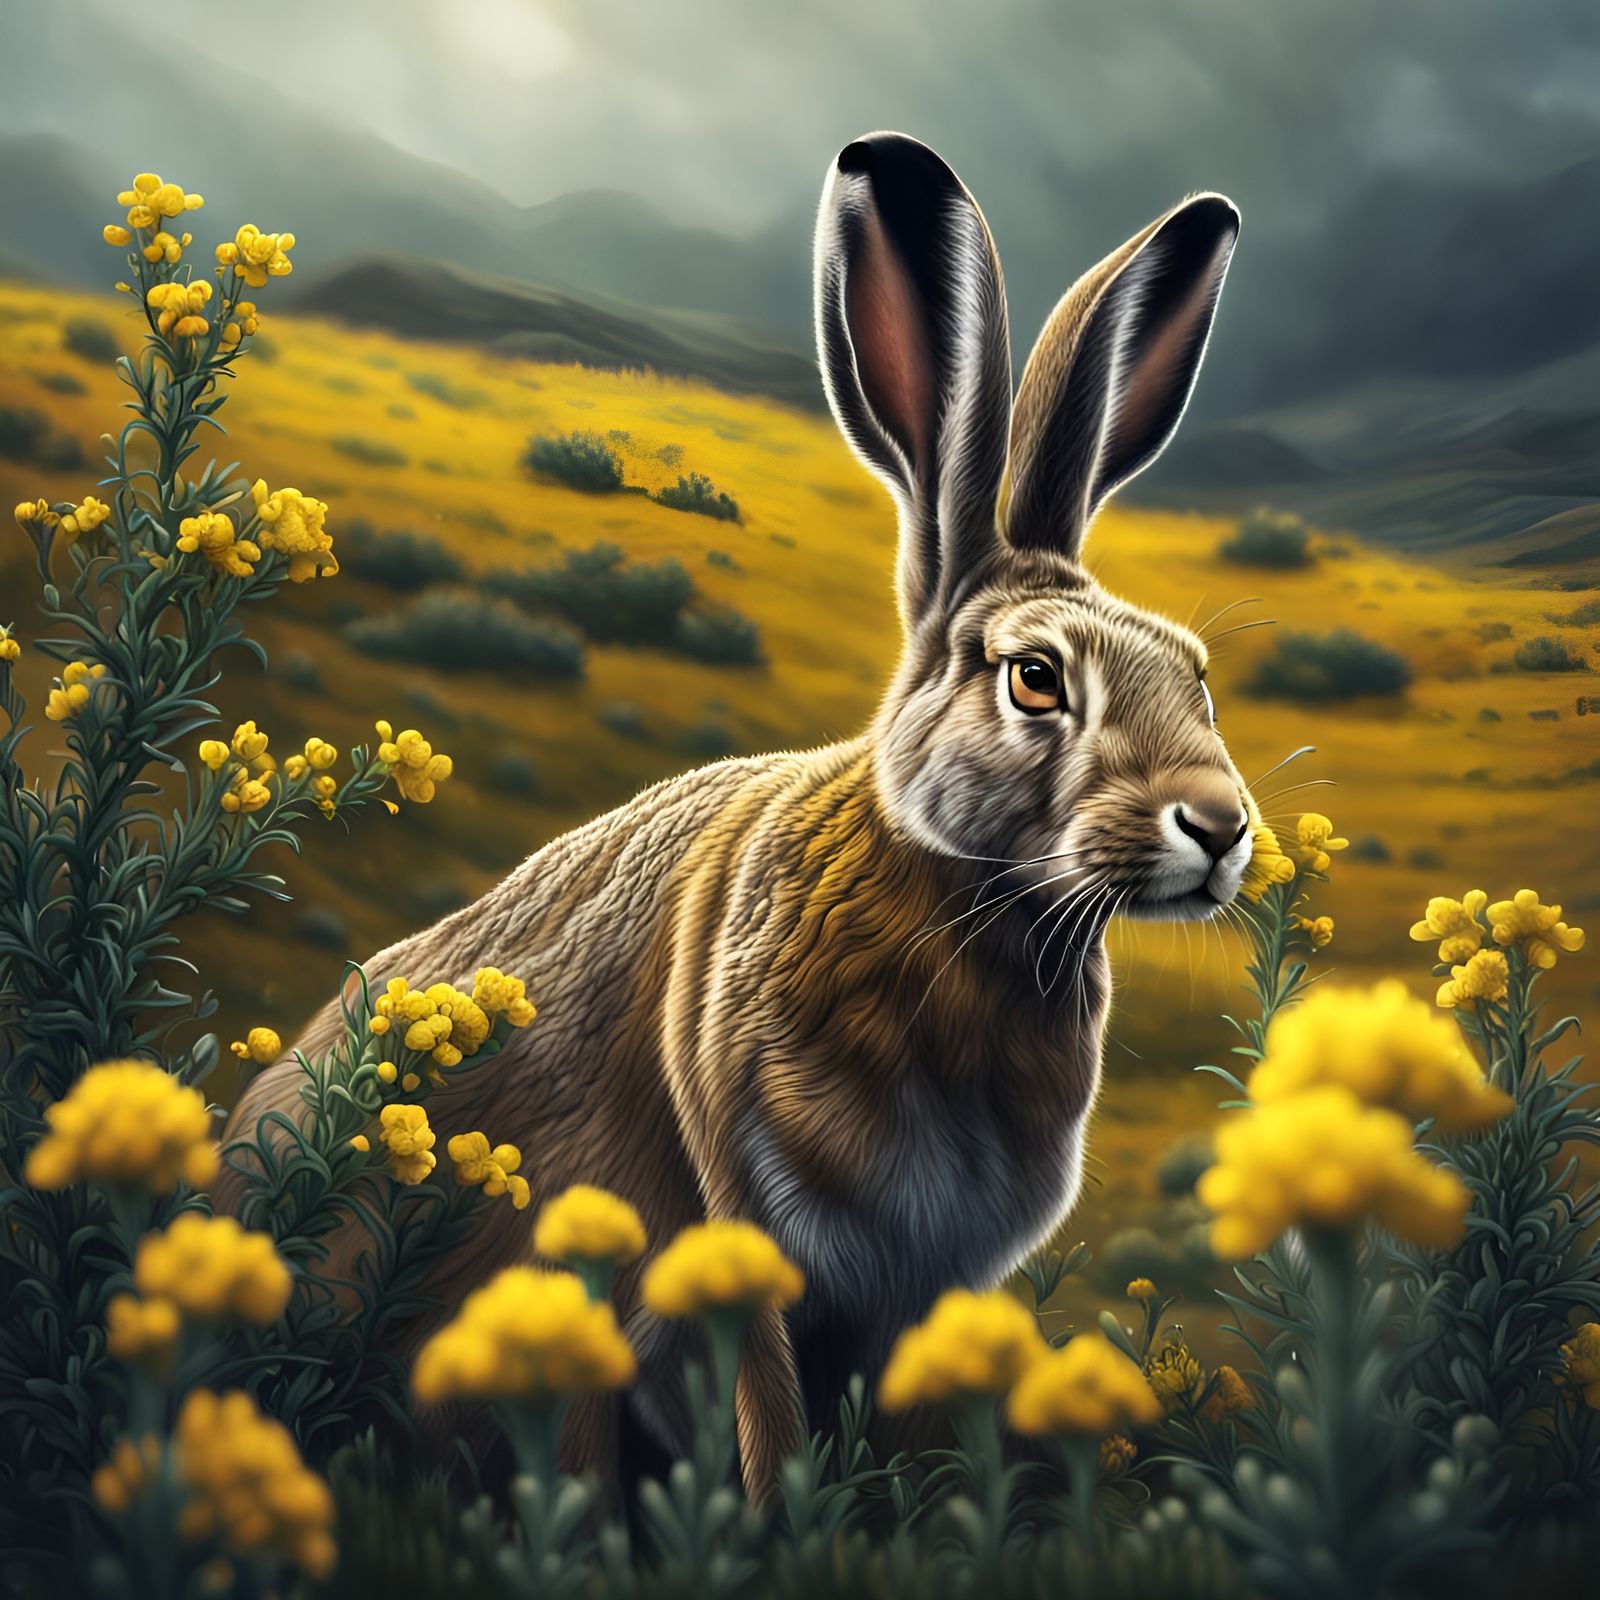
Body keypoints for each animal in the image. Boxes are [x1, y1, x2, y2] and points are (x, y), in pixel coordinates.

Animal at [221, 130, 1256, 1500]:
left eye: (1195, 672)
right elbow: (768, 1418)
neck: (966, 908)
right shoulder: (745, 1215)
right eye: (1035, 676)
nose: (1219, 826)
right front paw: (782, 1522)